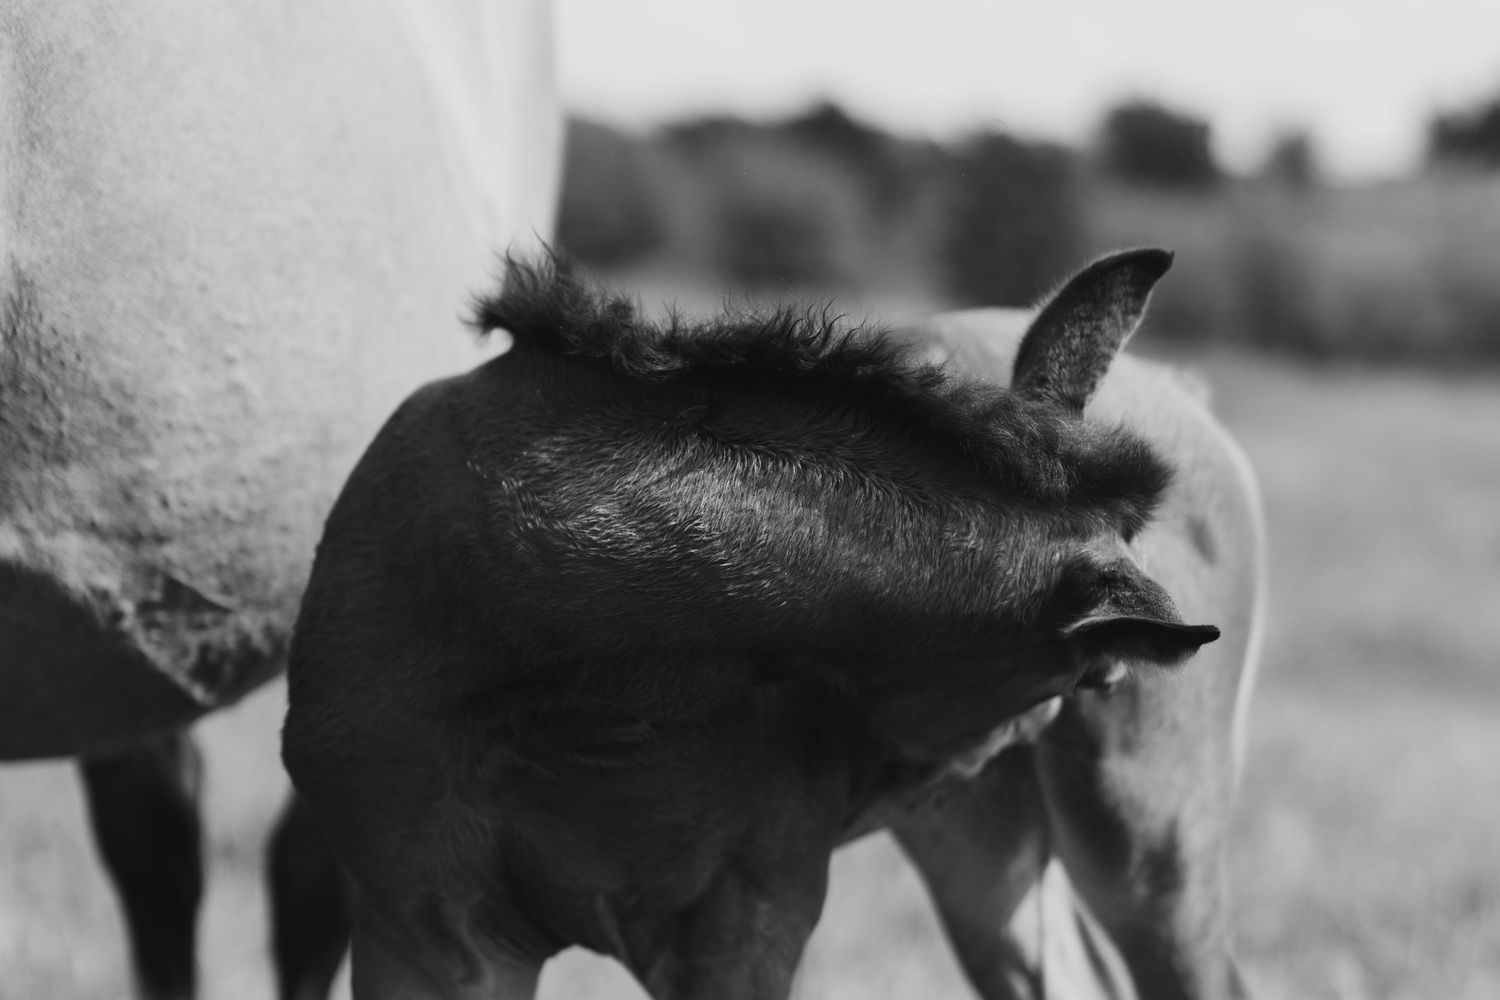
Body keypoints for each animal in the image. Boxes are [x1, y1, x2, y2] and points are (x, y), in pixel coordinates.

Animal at [283, 247, 1264, 999]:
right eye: (1093, 670)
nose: (1007, 744)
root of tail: (1179, 385)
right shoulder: (430, 934)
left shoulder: (744, 921)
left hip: (1142, 840)